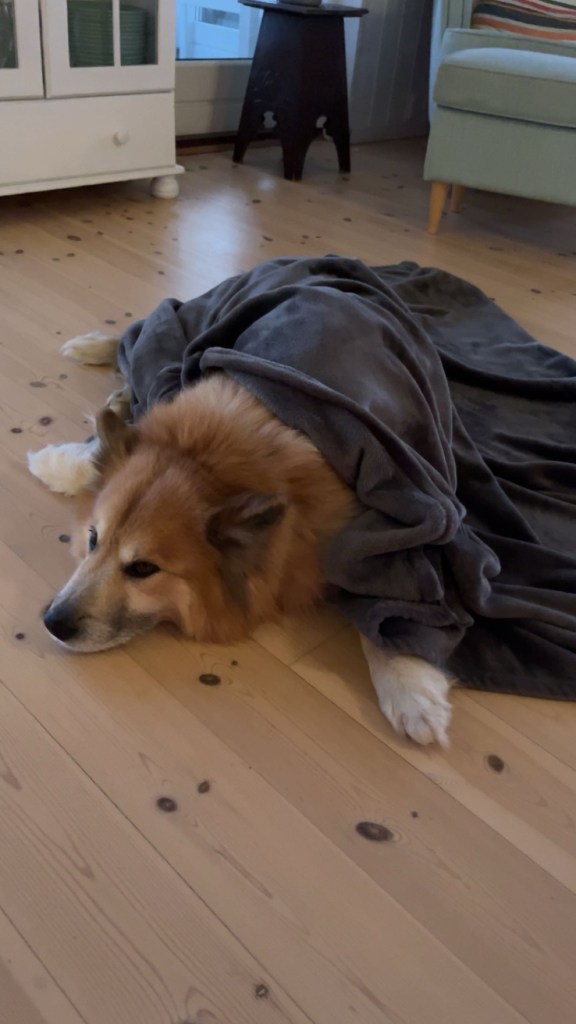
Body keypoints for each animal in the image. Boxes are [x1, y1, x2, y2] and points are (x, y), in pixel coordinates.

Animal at [29, 330, 453, 747]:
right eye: (94, 540)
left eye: (143, 568)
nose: (52, 622)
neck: (210, 459)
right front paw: (56, 463)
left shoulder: (392, 523)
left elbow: (390, 603)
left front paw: (410, 689)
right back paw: (97, 357)